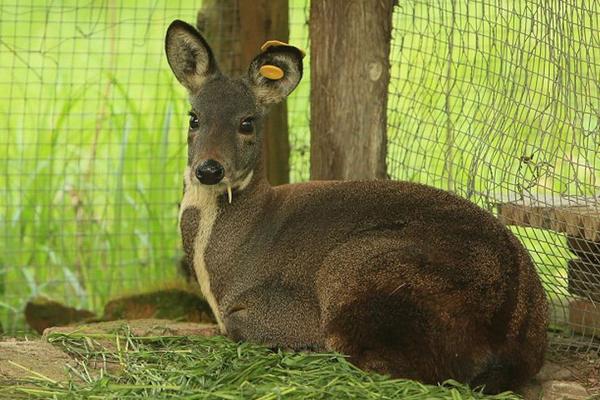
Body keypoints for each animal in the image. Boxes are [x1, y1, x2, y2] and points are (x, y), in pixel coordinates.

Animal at [164, 20, 548, 392]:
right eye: (194, 118)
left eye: (247, 122)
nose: (209, 169)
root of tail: (512, 334)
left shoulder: (283, 308)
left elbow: (242, 325)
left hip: (356, 266)